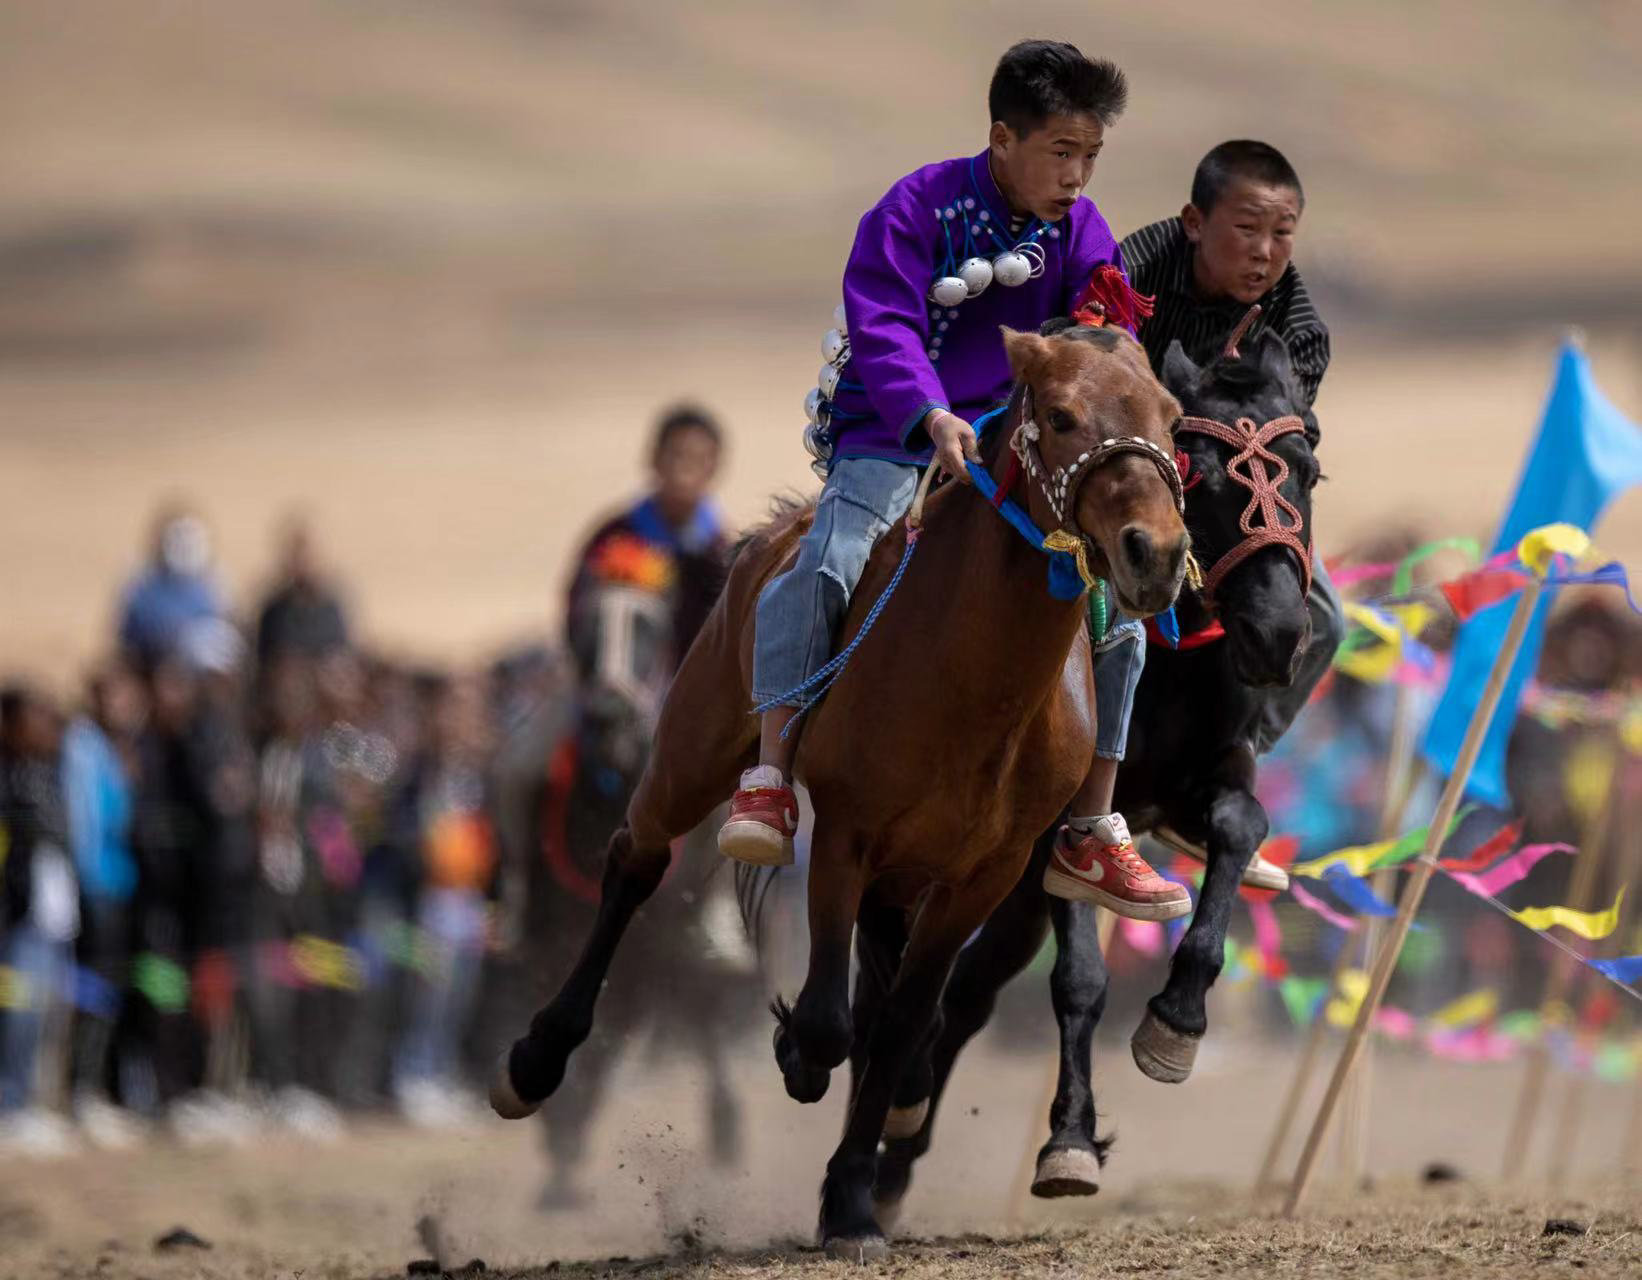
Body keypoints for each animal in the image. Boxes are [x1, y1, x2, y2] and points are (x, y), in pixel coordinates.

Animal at [489, 323, 1195, 1260]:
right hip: (691, 755)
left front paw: (853, 1195)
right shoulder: (846, 838)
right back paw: (533, 1062)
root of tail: (774, 533)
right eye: (1061, 415)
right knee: (633, 864)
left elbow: (899, 1023)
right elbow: (830, 1019)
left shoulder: (984, 875)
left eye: (1172, 418)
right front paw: (803, 1073)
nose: (1156, 553)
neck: (976, 682)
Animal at [860, 329, 1320, 1220]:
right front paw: (1069, 1142)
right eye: (1199, 473)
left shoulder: (1209, 777)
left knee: (965, 995)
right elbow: (1078, 979)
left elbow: (1240, 826)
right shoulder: (1055, 837)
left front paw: (1176, 1020)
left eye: (1307, 472)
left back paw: (896, 1156)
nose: (1278, 633)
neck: (1168, 674)